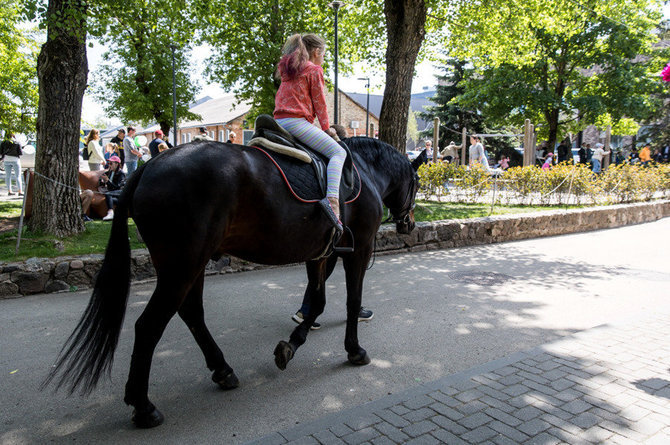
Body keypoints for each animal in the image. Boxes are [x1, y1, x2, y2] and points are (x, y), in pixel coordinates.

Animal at [43, 136, 420, 426]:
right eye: (416, 184)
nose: (409, 224)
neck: (365, 172)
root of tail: (150, 166)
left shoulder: (321, 253)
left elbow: (317, 302)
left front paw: (292, 344)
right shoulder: (357, 250)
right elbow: (350, 300)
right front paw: (354, 349)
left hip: (191, 266)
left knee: (192, 314)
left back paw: (222, 370)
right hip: (182, 266)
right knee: (149, 326)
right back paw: (143, 406)